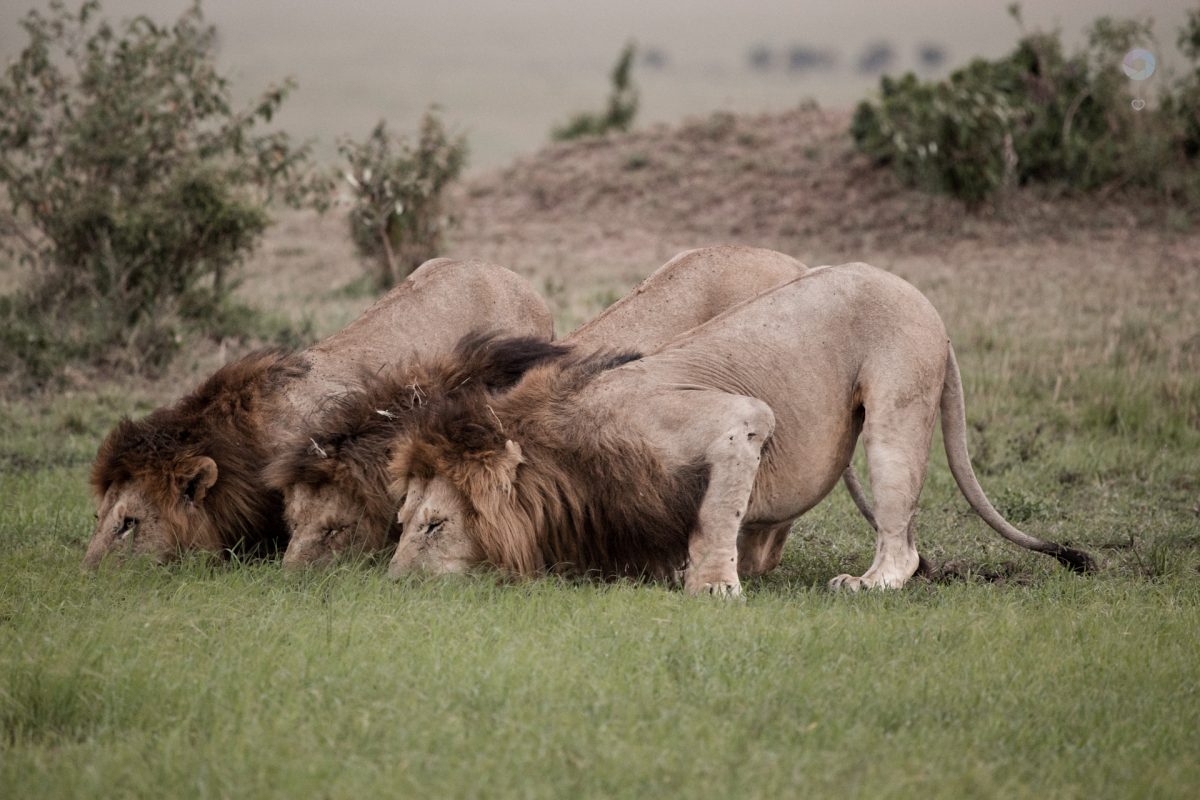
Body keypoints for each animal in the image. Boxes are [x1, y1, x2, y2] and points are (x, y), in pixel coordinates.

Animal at [386, 262, 1099, 594]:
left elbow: (714, 514)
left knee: (900, 540)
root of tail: (921, 298)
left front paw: (712, 587)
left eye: (435, 525)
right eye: (401, 522)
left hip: (897, 402)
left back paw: (865, 584)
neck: (566, 454)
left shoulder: (740, 420)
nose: (391, 585)